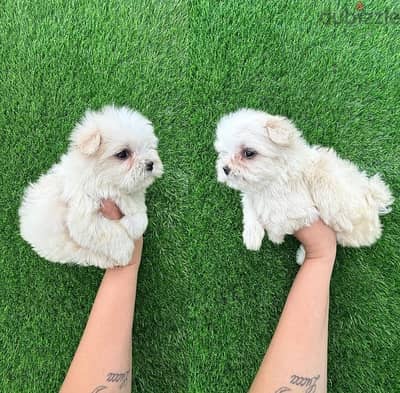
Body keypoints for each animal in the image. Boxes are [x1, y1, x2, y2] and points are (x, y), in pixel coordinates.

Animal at [18, 105, 162, 268]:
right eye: (123, 154)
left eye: (149, 147)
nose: (150, 164)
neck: (105, 181)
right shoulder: (84, 217)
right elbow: (111, 233)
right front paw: (125, 251)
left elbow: (140, 216)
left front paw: (132, 225)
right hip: (65, 247)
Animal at [216, 108, 394, 264]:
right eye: (223, 153)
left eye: (248, 153)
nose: (225, 169)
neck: (270, 182)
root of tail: (374, 197)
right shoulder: (253, 194)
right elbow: (250, 206)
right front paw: (252, 235)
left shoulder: (300, 204)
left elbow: (280, 219)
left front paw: (275, 236)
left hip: (351, 228)